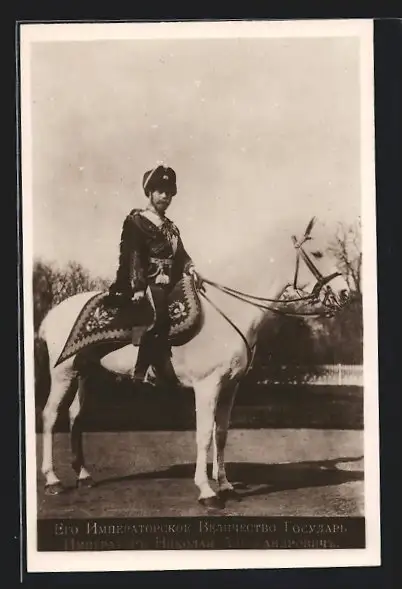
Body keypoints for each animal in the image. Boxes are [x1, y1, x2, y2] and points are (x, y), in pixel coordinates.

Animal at [36, 216, 350, 509]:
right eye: (318, 253)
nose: (346, 292)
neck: (229, 310)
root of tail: (52, 314)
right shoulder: (207, 386)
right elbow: (204, 436)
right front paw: (206, 491)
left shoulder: (230, 387)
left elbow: (221, 434)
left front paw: (225, 485)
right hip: (63, 373)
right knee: (50, 415)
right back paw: (52, 480)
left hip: (85, 374)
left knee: (76, 416)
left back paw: (84, 476)